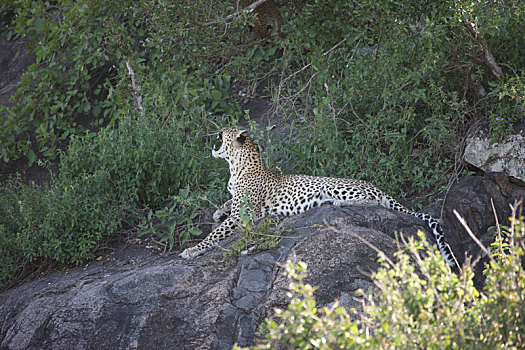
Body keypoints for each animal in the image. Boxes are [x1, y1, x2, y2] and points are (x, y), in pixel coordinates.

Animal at [180, 128, 458, 270]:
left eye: (225, 131)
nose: (216, 130)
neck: (236, 167)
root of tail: (376, 186)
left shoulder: (244, 216)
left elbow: (214, 235)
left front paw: (192, 250)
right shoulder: (236, 203)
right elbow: (226, 202)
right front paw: (217, 212)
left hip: (338, 187)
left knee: (372, 201)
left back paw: (337, 203)